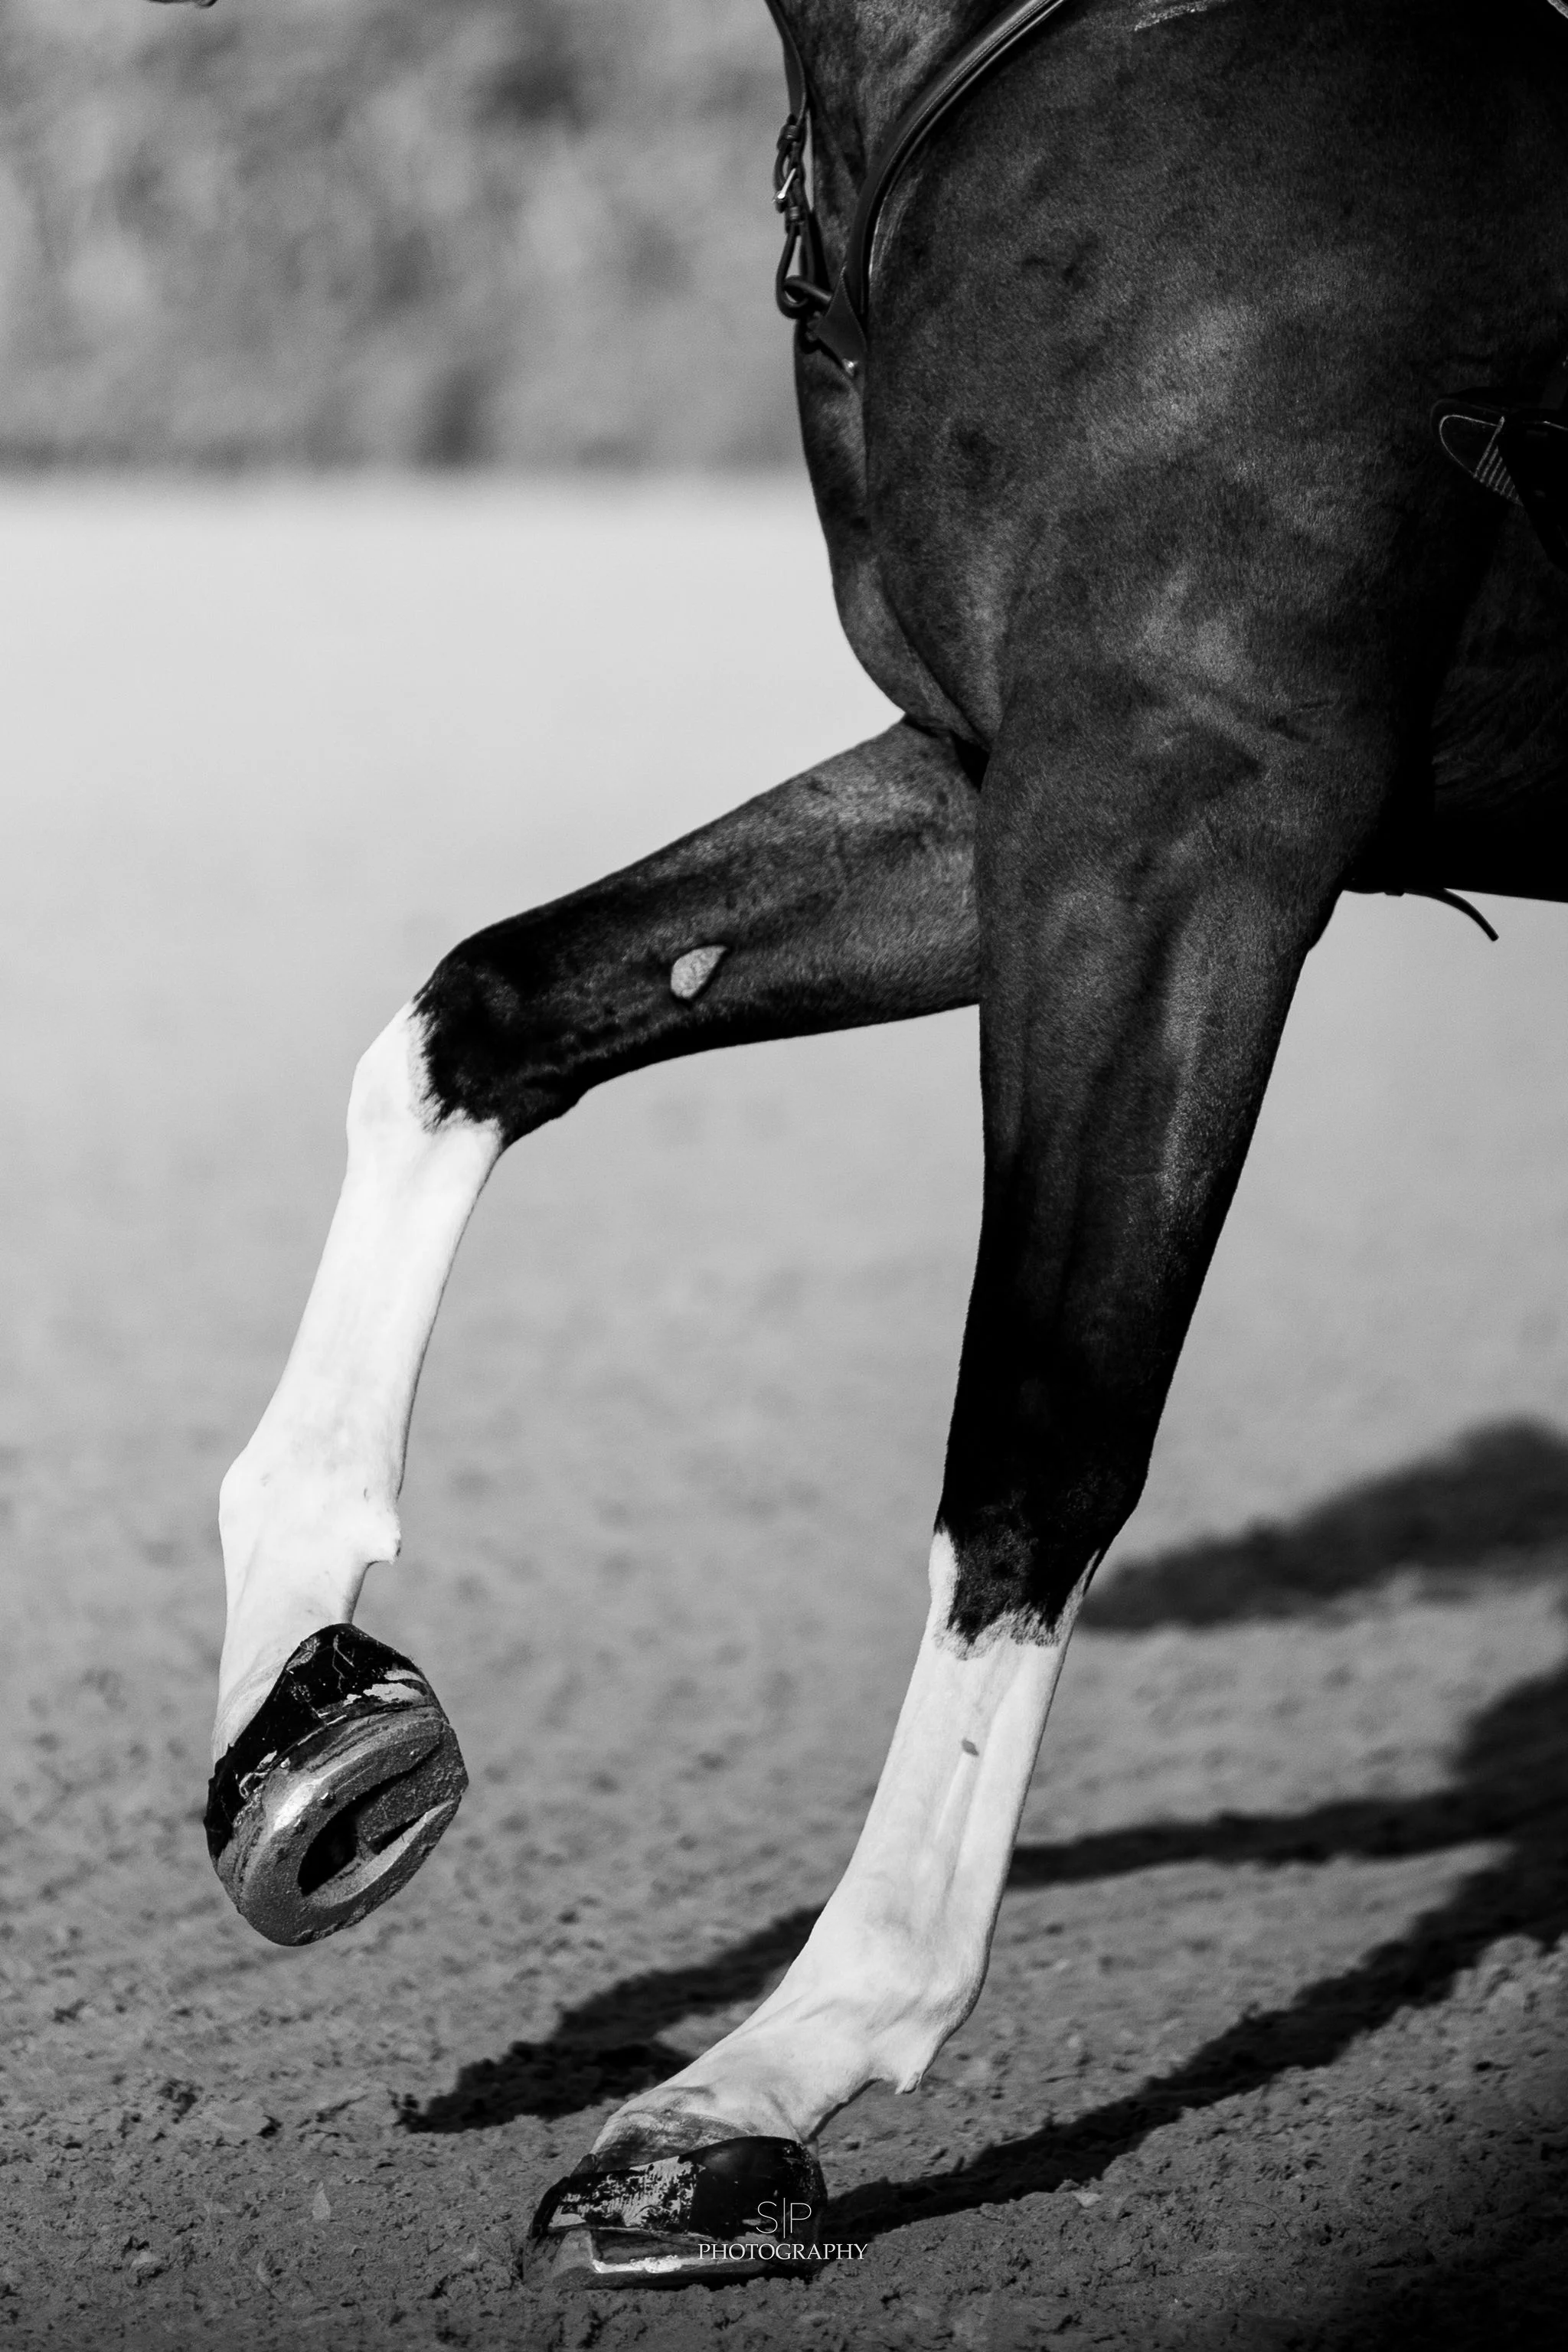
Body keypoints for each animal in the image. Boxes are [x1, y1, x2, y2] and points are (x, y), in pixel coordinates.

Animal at [190, 0, 1568, 2286]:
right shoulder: (987, 780)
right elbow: (485, 1011)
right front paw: (307, 1696)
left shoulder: (1174, 813)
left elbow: (1036, 1435)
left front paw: (764, 2082)